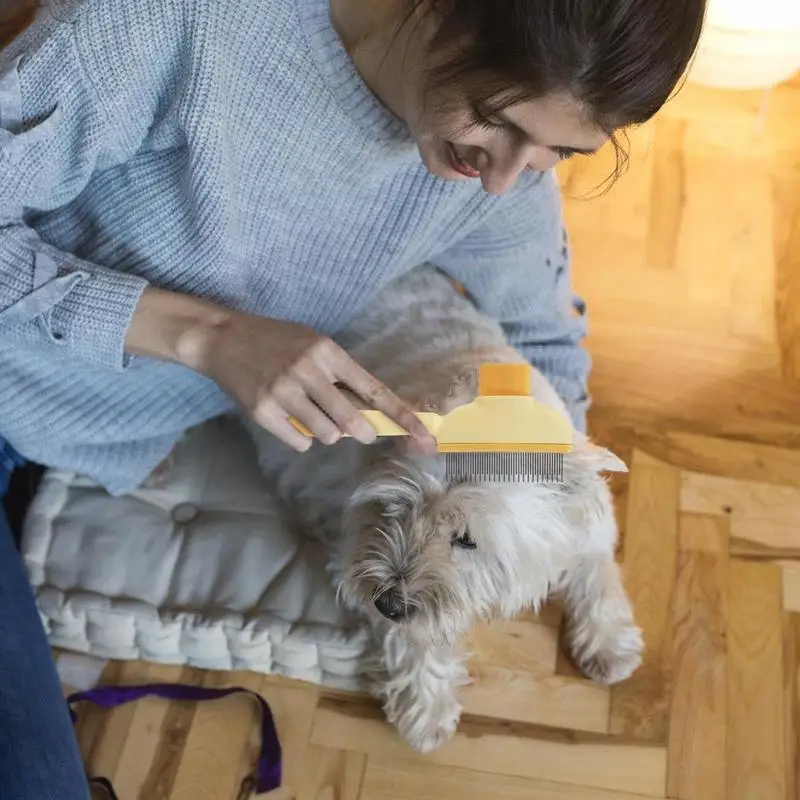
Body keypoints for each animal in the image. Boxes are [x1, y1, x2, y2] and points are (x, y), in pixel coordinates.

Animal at [247, 266, 640, 752]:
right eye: (394, 508)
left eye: (466, 538)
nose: (387, 603)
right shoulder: (358, 550)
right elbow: (415, 638)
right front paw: (427, 709)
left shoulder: (587, 527)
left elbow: (597, 571)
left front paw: (610, 645)